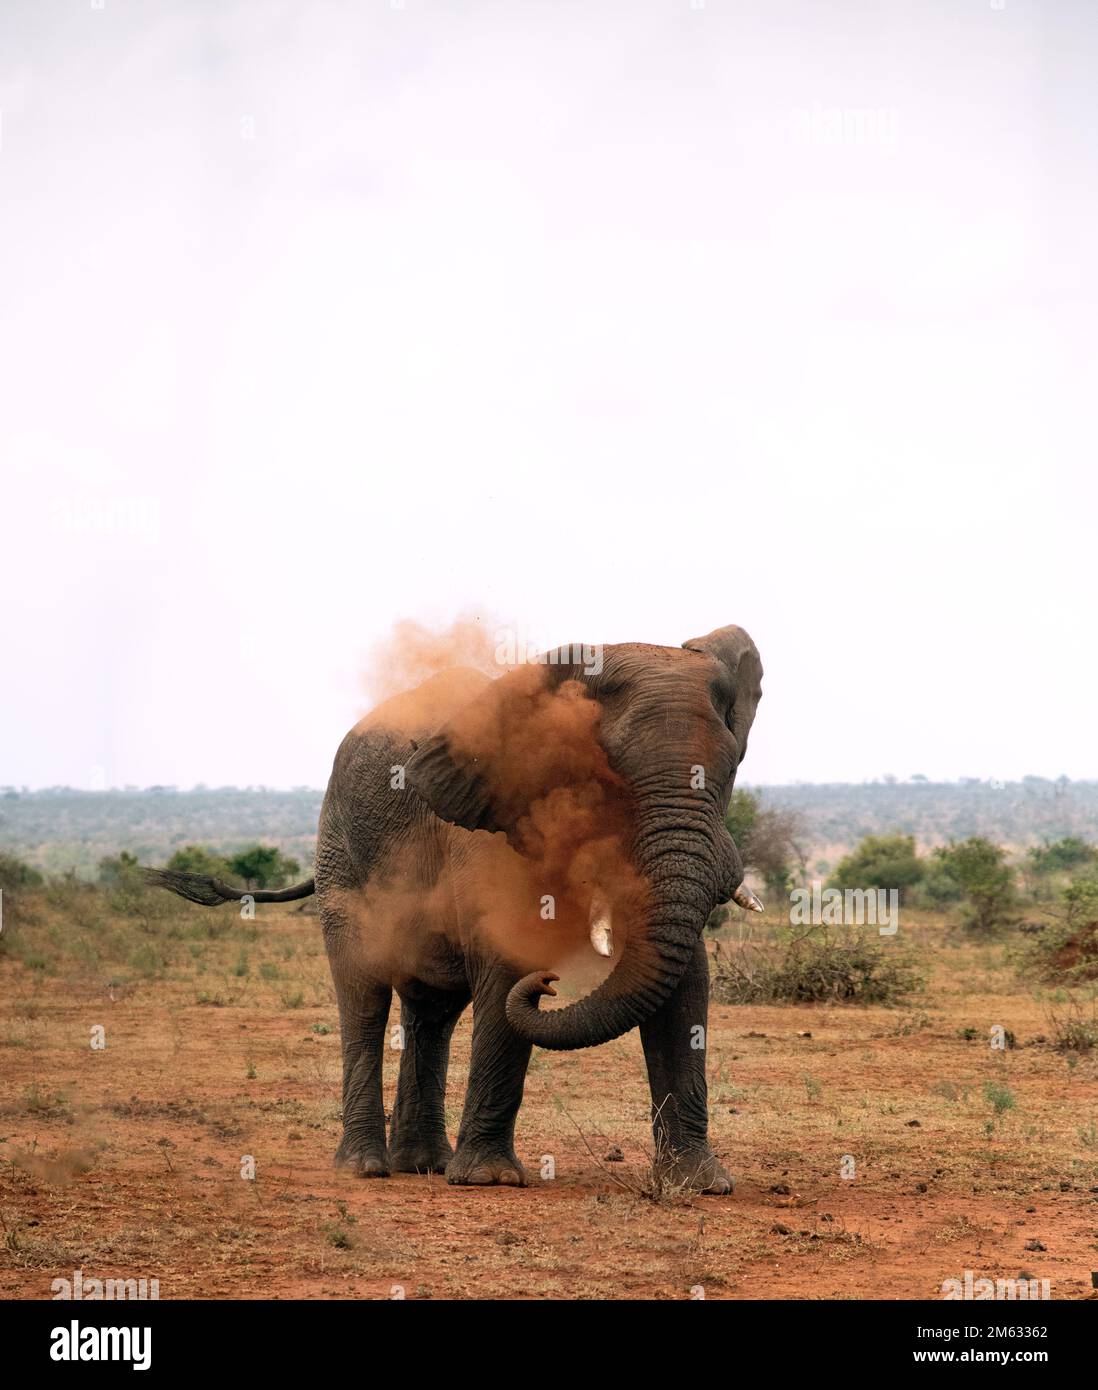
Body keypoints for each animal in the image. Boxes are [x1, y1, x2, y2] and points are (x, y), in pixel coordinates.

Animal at [145, 623, 763, 1194]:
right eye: (609, 777)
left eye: (731, 769)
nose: (550, 985)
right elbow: (506, 965)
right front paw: (490, 1180)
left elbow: (686, 987)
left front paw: (701, 1186)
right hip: (340, 855)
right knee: (363, 997)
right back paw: (366, 1168)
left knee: (432, 1010)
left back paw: (422, 1164)